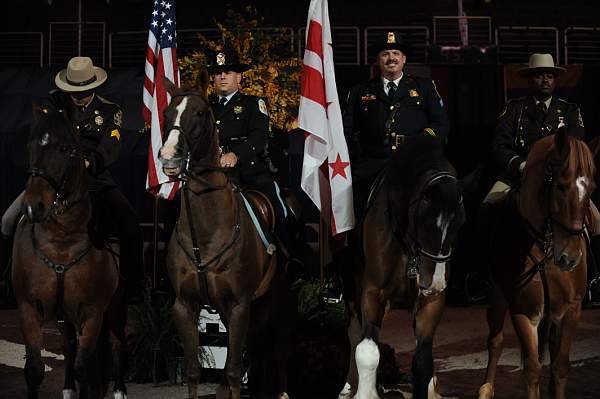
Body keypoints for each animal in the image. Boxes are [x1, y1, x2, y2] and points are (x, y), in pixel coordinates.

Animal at [12, 107, 126, 399]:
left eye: (65, 148)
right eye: (29, 145)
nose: (33, 207)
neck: (61, 240)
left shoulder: (93, 312)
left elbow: (84, 369)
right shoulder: (28, 308)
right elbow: (34, 370)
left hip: (116, 306)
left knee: (118, 342)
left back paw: (120, 390)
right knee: (68, 345)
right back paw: (66, 389)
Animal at [158, 77, 292, 399]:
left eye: (199, 113)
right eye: (167, 112)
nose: (169, 157)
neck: (205, 235)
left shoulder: (240, 304)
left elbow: (232, 370)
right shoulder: (185, 306)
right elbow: (194, 371)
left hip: (277, 298)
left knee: (277, 346)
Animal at [340, 135, 466, 399]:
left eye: (461, 222)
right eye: (425, 221)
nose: (435, 282)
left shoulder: (432, 301)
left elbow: (423, 361)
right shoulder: (372, 292)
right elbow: (367, 352)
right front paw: (364, 393)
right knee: (355, 334)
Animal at [476, 130, 596, 398]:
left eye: (592, 189)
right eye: (560, 186)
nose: (570, 258)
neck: (546, 247)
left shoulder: (571, 310)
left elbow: (560, 367)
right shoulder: (524, 312)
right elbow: (531, 369)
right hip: (497, 294)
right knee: (495, 341)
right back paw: (486, 388)